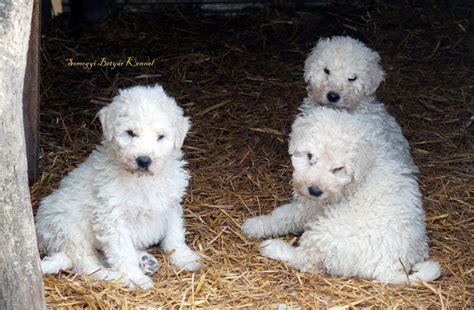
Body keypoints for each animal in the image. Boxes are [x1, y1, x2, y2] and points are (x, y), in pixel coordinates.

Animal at [35, 83, 201, 290]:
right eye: (130, 133)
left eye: (161, 137)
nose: (144, 160)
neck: (141, 179)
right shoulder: (112, 219)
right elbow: (123, 252)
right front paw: (135, 278)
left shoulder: (170, 205)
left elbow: (175, 235)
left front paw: (185, 258)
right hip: (68, 230)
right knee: (87, 266)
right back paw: (117, 276)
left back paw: (145, 261)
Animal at [243, 108, 442, 284]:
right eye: (310, 156)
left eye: (338, 169)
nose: (315, 191)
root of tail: (391, 267)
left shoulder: (312, 207)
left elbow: (282, 216)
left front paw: (254, 225)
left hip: (327, 232)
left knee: (304, 260)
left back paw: (273, 247)